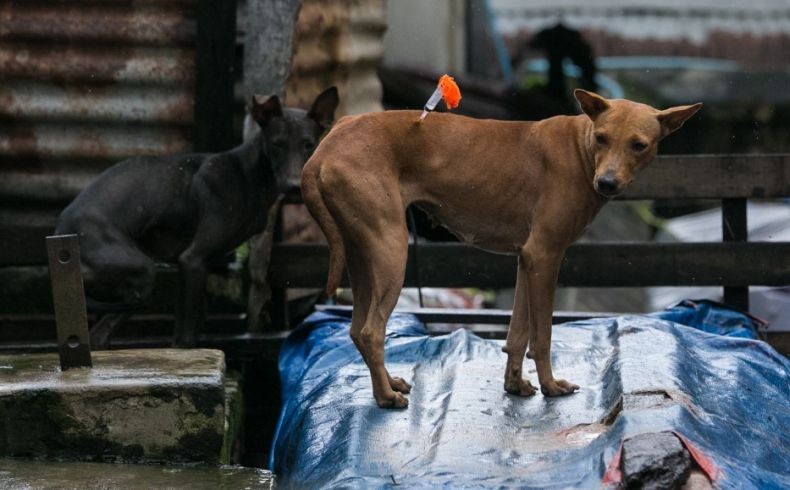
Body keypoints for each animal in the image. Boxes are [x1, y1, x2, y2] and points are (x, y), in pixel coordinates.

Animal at [55, 86, 340, 346]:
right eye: (276, 144)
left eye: (309, 145)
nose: (293, 187)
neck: (248, 173)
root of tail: (61, 235)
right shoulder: (193, 260)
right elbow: (186, 338)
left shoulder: (196, 267)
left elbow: (185, 331)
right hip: (142, 274)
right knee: (101, 333)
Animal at [304, 90, 704, 408]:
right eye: (603, 138)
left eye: (639, 144)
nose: (605, 183)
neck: (581, 148)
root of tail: (326, 145)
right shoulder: (545, 255)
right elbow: (542, 336)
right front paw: (550, 386)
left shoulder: (527, 260)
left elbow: (517, 333)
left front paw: (515, 385)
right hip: (391, 250)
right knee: (371, 332)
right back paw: (386, 396)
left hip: (361, 256)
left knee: (356, 329)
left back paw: (387, 383)